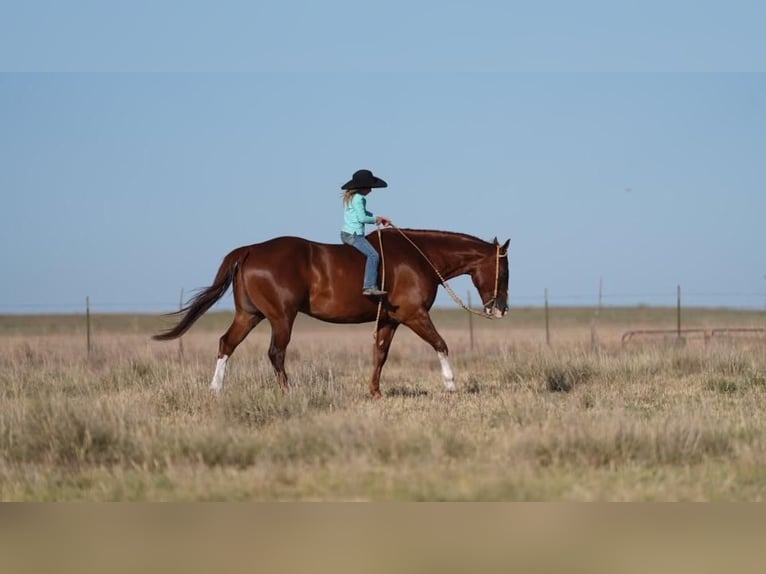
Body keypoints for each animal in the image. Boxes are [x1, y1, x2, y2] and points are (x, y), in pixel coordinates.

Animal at [153, 227, 510, 398]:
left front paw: (375, 391)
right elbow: (441, 344)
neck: (418, 256)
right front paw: (451, 385)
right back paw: (288, 393)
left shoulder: (390, 321)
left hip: (249, 315)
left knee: (226, 344)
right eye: (504, 270)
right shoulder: (414, 315)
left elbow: (380, 355)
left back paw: (216, 390)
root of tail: (250, 250)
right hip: (281, 318)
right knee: (276, 353)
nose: (502, 308)